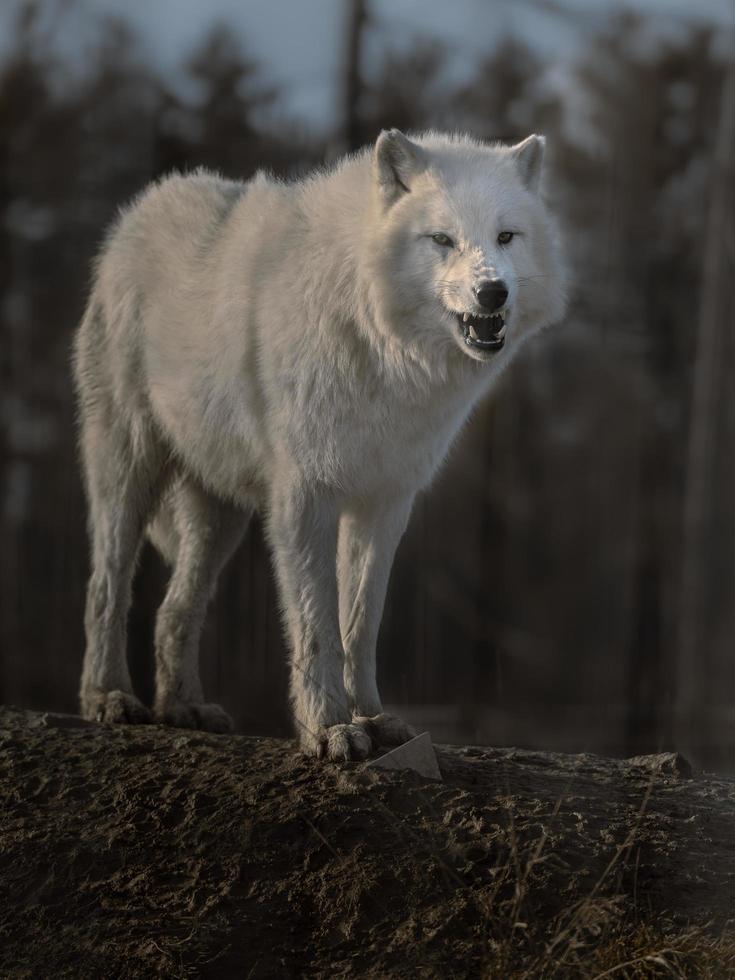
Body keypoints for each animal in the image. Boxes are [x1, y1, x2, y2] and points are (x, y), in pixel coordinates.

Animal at [75, 128, 568, 756]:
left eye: (506, 236)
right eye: (441, 239)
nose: (492, 292)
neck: (384, 351)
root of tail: (141, 209)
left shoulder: (384, 503)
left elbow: (360, 623)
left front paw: (373, 718)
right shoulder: (306, 498)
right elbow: (316, 625)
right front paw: (330, 728)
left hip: (220, 517)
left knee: (172, 612)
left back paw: (183, 706)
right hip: (127, 472)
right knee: (105, 589)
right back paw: (108, 697)